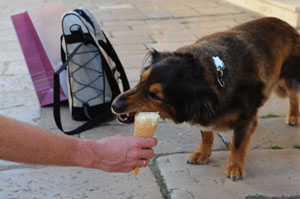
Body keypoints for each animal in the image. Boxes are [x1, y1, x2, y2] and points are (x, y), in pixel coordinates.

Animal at [111, 17, 300, 180]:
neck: (213, 75)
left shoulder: (245, 118)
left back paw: (293, 116)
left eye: (155, 96)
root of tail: (286, 24)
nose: (114, 105)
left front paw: (235, 166)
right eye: (141, 79)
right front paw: (203, 153)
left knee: (293, 95)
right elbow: (206, 134)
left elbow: (238, 144)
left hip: (290, 78)